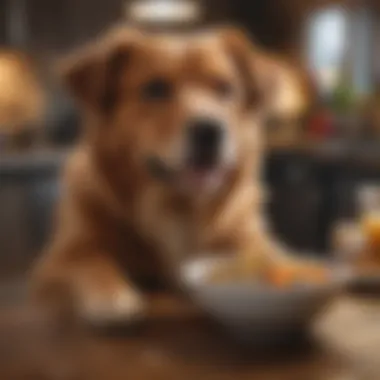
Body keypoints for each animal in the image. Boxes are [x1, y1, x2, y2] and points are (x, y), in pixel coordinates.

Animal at [31, 26, 306, 324]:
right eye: (156, 88)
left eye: (225, 88)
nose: (210, 131)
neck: (177, 208)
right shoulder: (58, 259)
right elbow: (91, 261)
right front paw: (111, 295)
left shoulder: (251, 242)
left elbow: (273, 260)